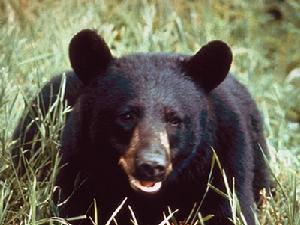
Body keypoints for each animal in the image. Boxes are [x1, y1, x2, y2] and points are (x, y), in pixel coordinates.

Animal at [11, 29, 270, 224]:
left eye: (174, 119)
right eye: (127, 115)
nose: (151, 166)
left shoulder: (224, 162)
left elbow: (229, 209)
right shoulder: (78, 162)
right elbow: (74, 209)